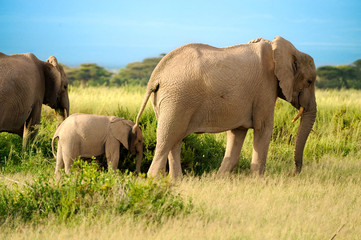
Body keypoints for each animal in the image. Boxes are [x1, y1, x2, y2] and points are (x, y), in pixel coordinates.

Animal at [135, 35, 316, 178]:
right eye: (309, 81)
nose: (292, 173)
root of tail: (156, 74)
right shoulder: (265, 89)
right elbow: (263, 128)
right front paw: (258, 182)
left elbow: (237, 133)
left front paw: (218, 179)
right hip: (177, 98)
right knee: (167, 139)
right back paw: (155, 180)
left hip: (168, 100)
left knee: (175, 140)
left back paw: (176, 181)